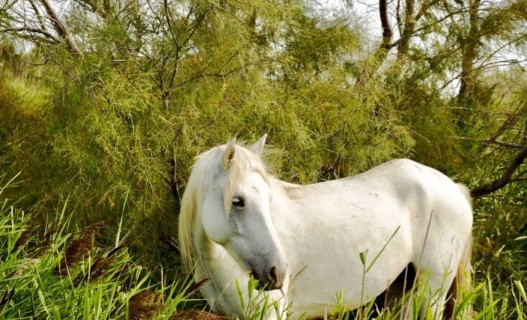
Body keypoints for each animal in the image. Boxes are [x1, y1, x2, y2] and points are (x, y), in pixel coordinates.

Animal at [178, 136, 474, 320]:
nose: (278, 273)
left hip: (433, 290)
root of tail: (454, 188)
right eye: (237, 201)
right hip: (403, 288)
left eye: (268, 199)